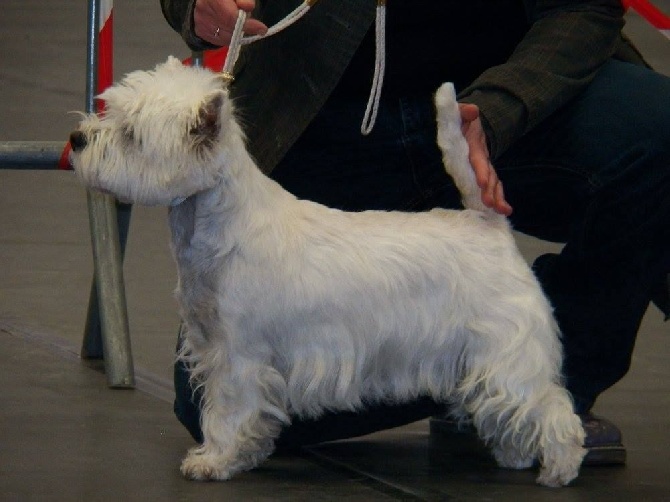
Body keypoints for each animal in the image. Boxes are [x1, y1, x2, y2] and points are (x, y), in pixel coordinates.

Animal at [71, 57, 588, 486]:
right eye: (108, 111)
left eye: (131, 134)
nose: (76, 140)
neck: (220, 224)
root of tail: (488, 222)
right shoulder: (210, 341)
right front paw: (233, 455)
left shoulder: (239, 352)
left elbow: (229, 408)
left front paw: (215, 462)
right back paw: (515, 455)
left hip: (507, 347)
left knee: (550, 406)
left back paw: (559, 470)